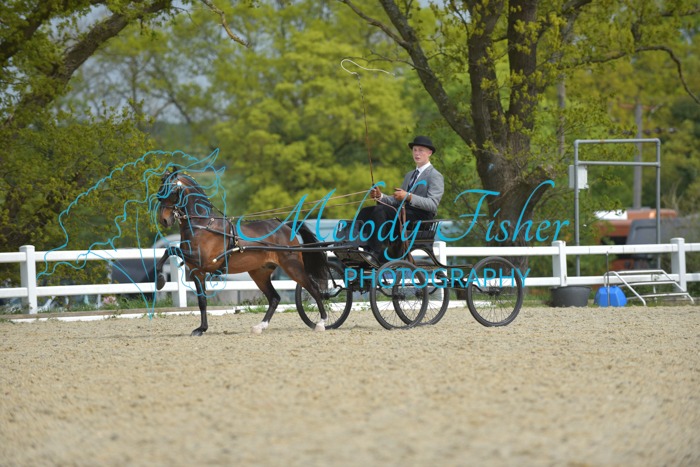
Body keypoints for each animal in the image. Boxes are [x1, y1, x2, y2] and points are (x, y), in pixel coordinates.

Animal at [153, 170, 329, 336]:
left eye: (172, 192)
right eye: (160, 192)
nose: (164, 220)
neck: (202, 225)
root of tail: (285, 226)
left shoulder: (204, 260)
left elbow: (170, 249)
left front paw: (160, 280)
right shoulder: (198, 271)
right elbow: (201, 300)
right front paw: (201, 329)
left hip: (292, 266)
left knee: (313, 288)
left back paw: (322, 323)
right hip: (259, 273)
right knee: (274, 298)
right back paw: (260, 326)